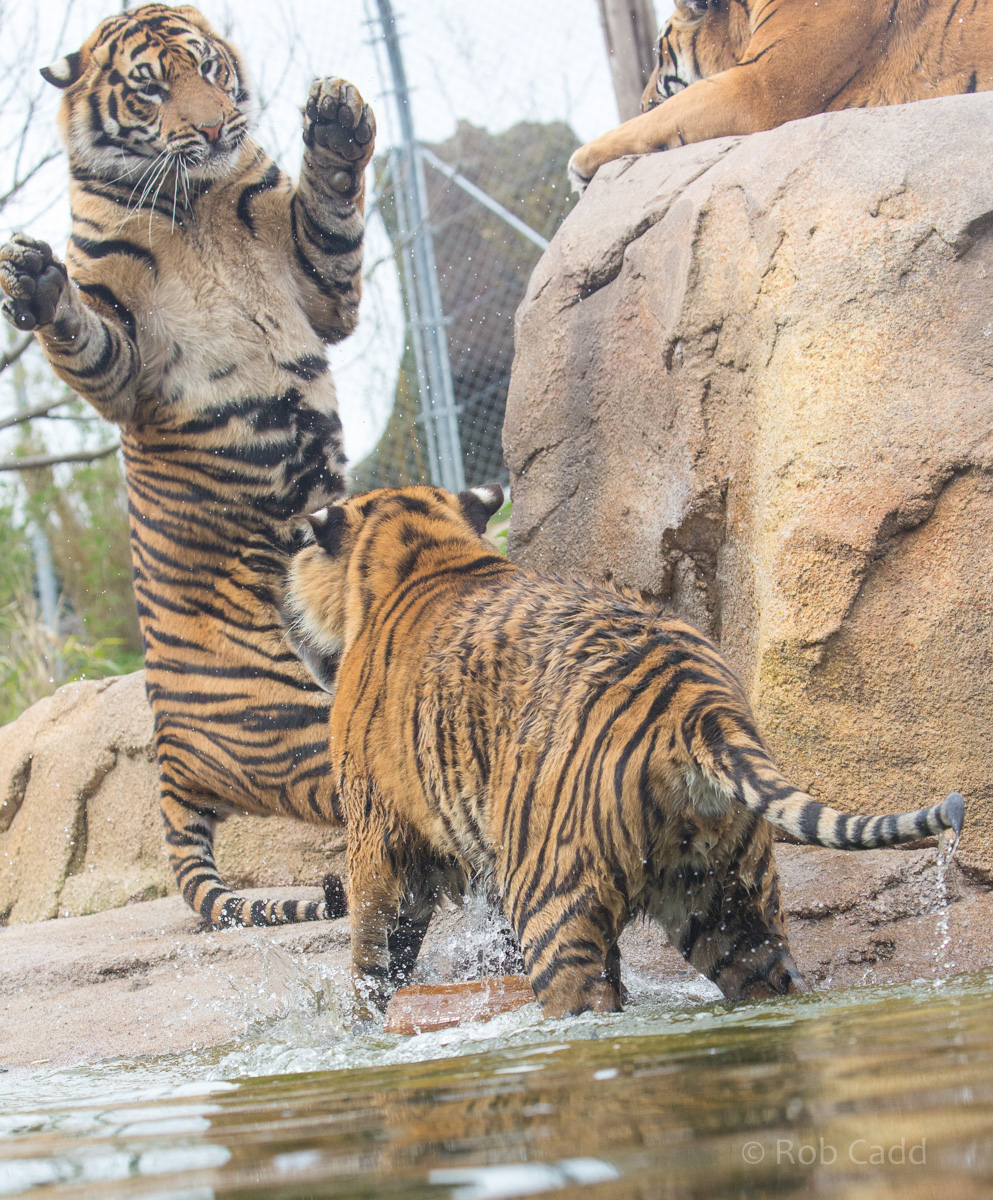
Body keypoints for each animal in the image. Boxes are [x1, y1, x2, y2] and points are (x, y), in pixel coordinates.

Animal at [0, 4, 377, 927]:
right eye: (148, 89)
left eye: (207, 69)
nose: (211, 128)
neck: (196, 196)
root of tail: (167, 758)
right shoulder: (126, 359)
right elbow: (85, 335)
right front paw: (36, 284)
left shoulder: (319, 285)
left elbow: (331, 219)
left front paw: (337, 121)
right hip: (291, 720)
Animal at [280, 483, 965, 1018]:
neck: (425, 549)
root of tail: (697, 700)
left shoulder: (378, 843)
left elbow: (373, 954)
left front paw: (361, 1025)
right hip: (727, 899)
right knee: (771, 976)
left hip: (552, 895)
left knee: (585, 1002)